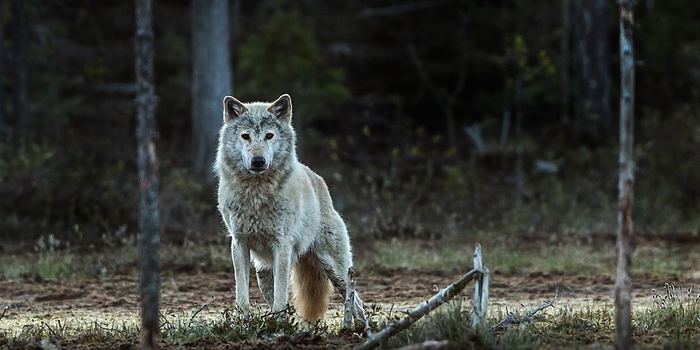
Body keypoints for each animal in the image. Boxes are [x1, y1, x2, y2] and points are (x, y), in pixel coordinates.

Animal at [216, 93, 364, 322]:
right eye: (245, 136)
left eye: (269, 136)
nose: (258, 161)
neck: (256, 195)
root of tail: (318, 179)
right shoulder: (239, 244)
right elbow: (242, 296)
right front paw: (243, 323)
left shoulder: (282, 246)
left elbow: (281, 296)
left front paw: (278, 324)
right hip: (263, 273)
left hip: (336, 269)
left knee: (357, 303)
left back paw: (359, 328)